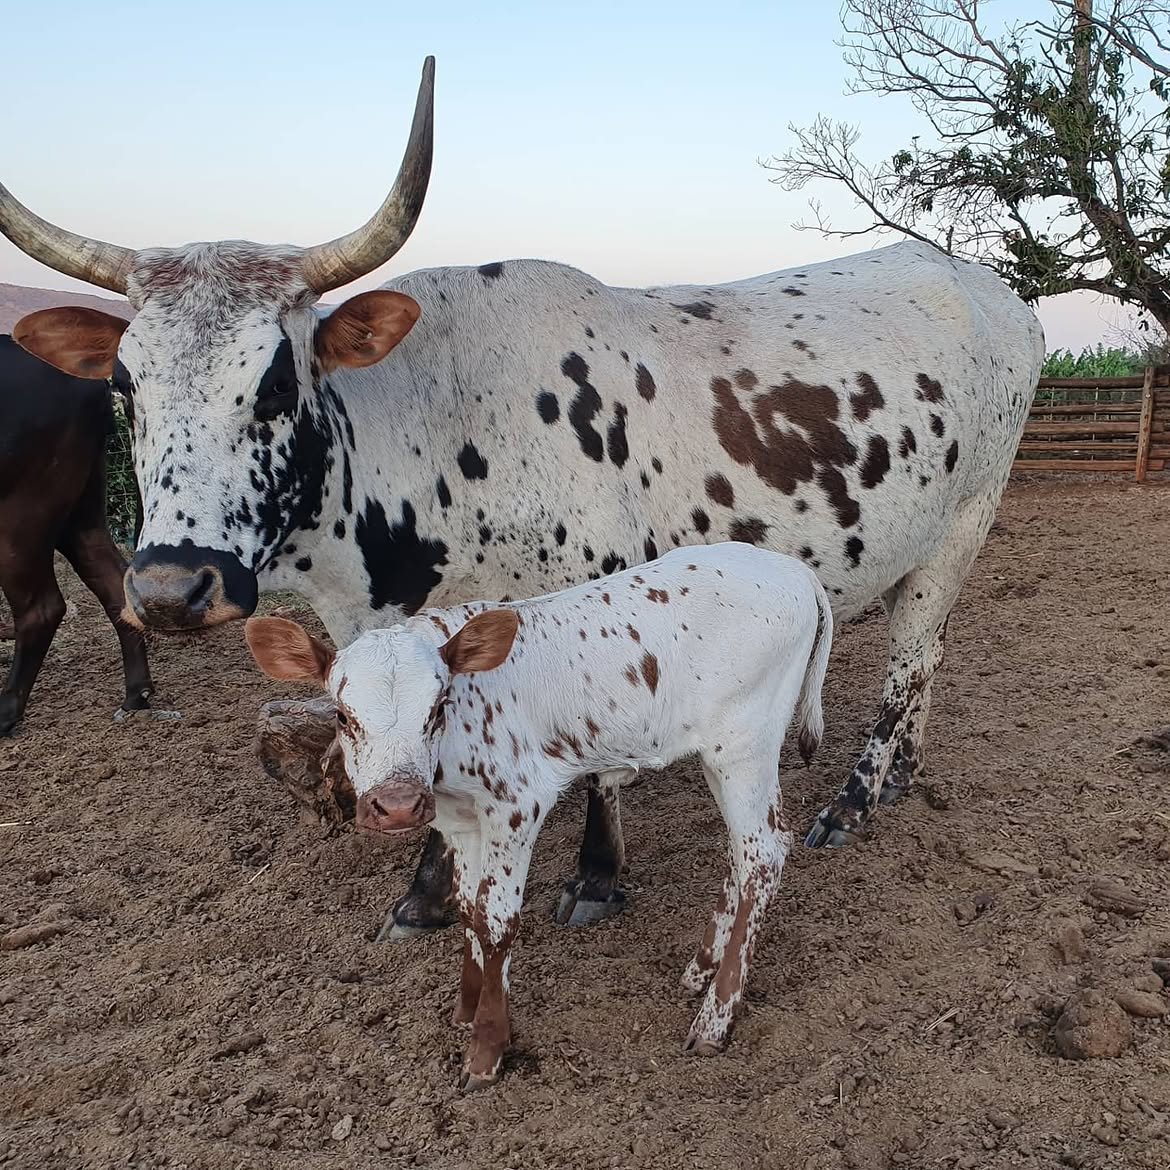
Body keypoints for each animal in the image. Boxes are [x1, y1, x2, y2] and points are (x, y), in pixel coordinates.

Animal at [0, 335, 154, 734]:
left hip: (21, 513)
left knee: (42, 608)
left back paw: (5, 710)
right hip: (79, 511)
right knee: (113, 580)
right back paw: (137, 694)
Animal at [244, 542, 833, 1089]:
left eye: (436, 708)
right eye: (343, 716)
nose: (397, 805)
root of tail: (794, 570)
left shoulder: (517, 805)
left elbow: (497, 918)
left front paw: (487, 1047)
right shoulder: (458, 818)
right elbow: (468, 908)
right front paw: (466, 1008)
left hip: (746, 746)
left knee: (763, 854)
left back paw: (715, 1017)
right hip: (721, 756)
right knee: (742, 852)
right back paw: (700, 969)